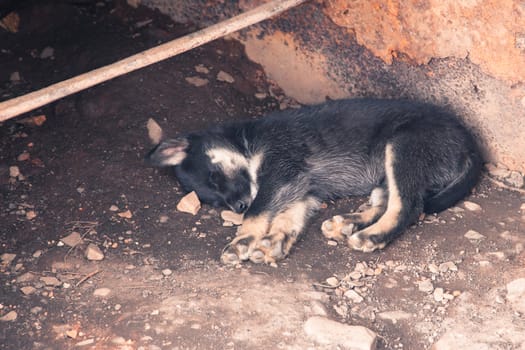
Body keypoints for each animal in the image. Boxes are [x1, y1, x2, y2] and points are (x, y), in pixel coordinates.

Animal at [145, 97, 482, 264]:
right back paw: (347, 222)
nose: (237, 206)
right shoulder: (301, 190)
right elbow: (285, 219)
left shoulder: (282, 171)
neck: (246, 140)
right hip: (390, 171)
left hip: (403, 148)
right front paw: (274, 242)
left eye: (215, 177)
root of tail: (470, 145)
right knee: (388, 201)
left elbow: (258, 212)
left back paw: (372, 237)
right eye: (214, 201)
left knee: (408, 207)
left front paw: (242, 240)